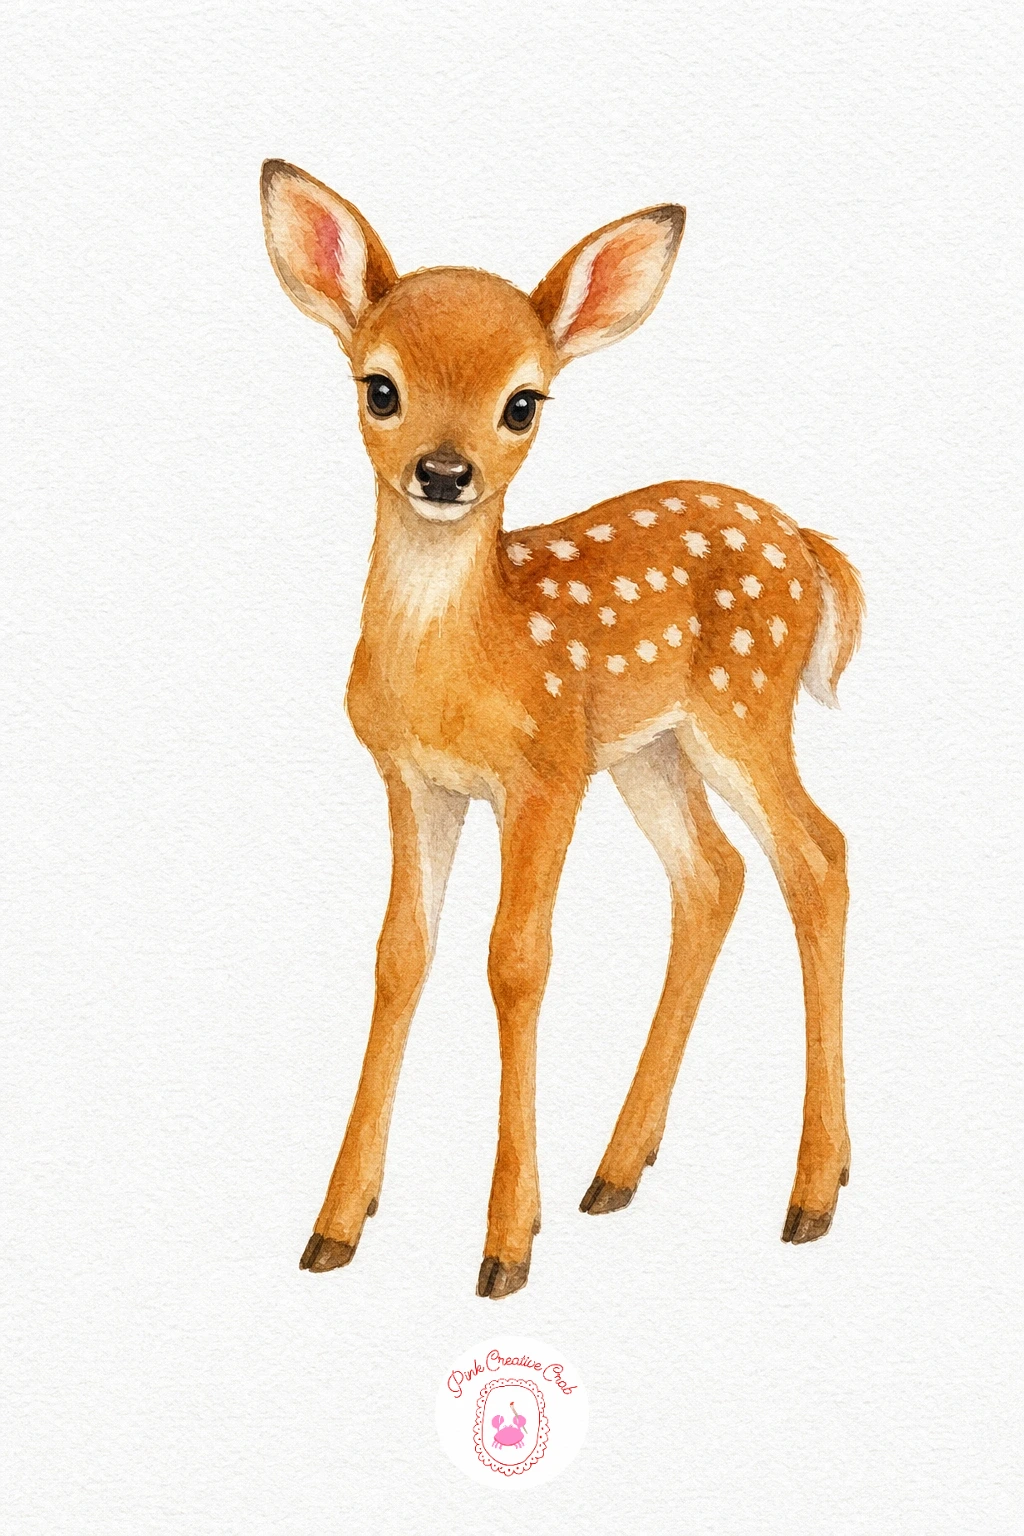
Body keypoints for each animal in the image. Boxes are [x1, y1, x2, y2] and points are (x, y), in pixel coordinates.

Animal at [260, 160, 864, 1299]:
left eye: (523, 401)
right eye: (379, 386)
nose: (444, 473)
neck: (463, 662)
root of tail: (808, 545)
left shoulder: (544, 770)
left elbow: (516, 960)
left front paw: (504, 1245)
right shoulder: (415, 778)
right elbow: (400, 954)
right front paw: (336, 1226)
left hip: (742, 705)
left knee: (818, 854)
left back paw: (811, 1194)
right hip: (650, 751)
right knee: (714, 874)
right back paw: (618, 1170)